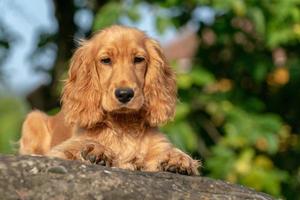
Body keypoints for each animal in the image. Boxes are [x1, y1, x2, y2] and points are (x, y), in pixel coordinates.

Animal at [19, 25, 200, 175]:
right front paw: (95, 150)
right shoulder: (58, 151)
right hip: (33, 118)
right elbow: (75, 149)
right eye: (106, 60)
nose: (124, 94)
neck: (123, 125)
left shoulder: (157, 145)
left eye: (138, 59)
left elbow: (166, 153)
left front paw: (178, 158)